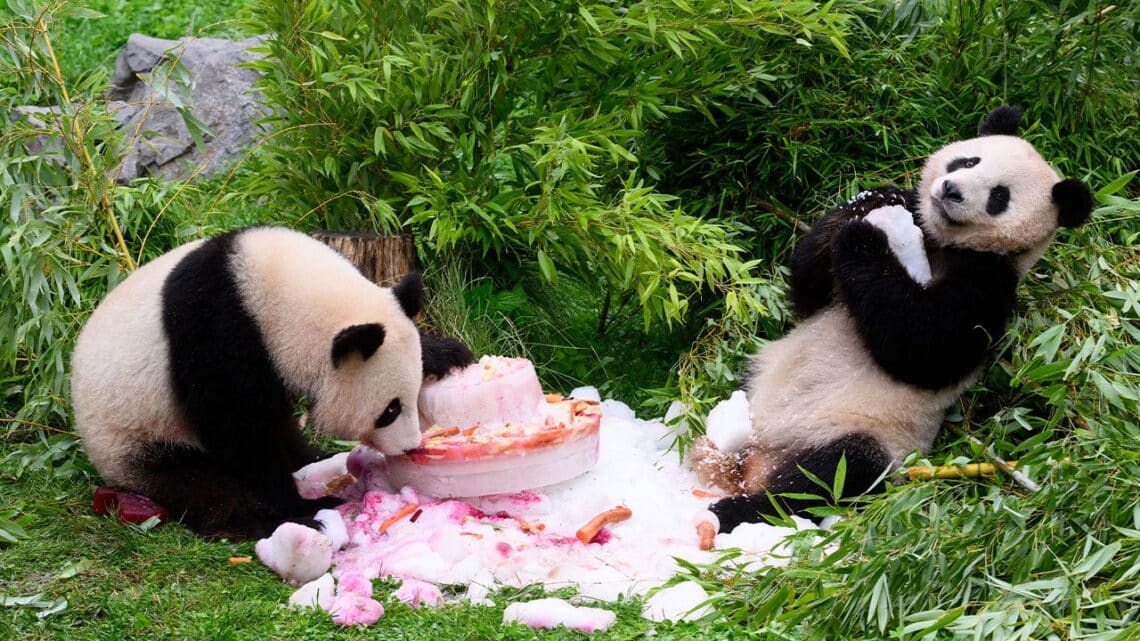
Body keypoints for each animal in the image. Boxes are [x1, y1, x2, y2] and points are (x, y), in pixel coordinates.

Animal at [70, 226, 474, 540]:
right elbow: (239, 431)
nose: (410, 447)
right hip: (136, 439)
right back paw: (262, 521)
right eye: (389, 410)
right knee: (201, 485)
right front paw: (300, 506)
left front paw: (446, 353)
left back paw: (315, 459)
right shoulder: (216, 333)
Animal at [690, 106, 1094, 533]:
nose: (950, 190)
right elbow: (805, 291)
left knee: (828, 478)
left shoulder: (989, 285)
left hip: (865, 432)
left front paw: (864, 237)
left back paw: (733, 513)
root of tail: (757, 459)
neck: (939, 241)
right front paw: (872, 201)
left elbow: (924, 343)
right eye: (969, 161)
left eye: (1000, 196)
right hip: (759, 379)